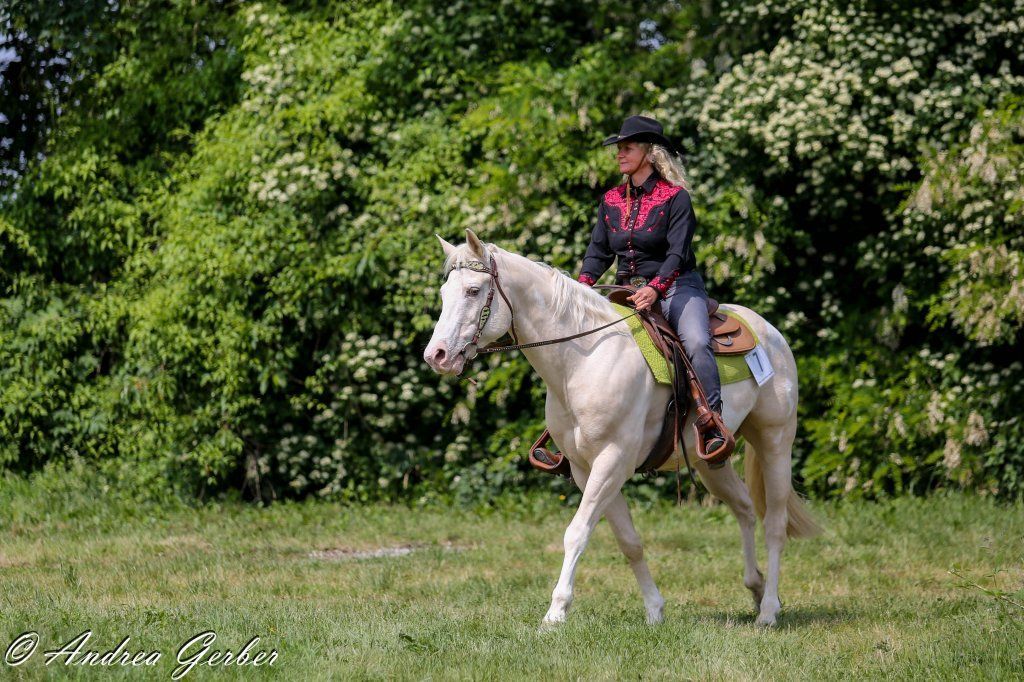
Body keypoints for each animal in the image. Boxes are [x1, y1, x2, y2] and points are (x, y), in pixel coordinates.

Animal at [423, 228, 821, 628]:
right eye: (444, 293)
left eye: (473, 291)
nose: (436, 355)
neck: (583, 359)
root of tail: (770, 332)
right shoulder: (586, 469)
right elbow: (629, 541)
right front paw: (654, 610)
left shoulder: (612, 461)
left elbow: (577, 533)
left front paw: (555, 613)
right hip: (711, 461)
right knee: (743, 508)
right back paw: (756, 588)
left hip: (775, 441)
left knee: (775, 523)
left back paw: (768, 610)